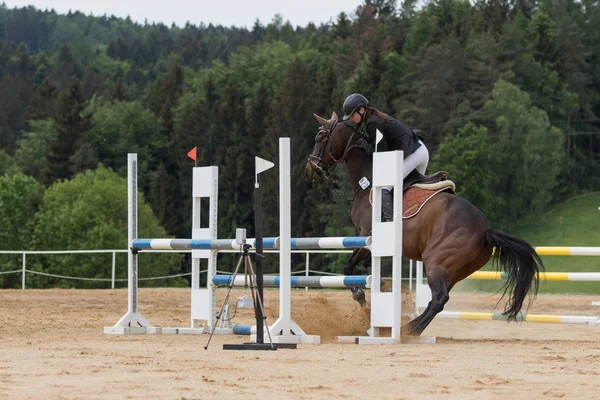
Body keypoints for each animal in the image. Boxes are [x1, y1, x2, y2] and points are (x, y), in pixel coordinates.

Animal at [304, 111, 544, 336]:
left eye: (320, 137)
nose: (310, 170)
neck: (368, 181)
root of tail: (487, 229)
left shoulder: (366, 236)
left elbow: (349, 267)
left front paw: (362, 297)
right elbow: (370, 269)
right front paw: (381, 291)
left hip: (435, 261)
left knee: (439, 298)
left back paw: (409, 330)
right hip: (456, 270)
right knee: (437, 300)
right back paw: (410, 328)